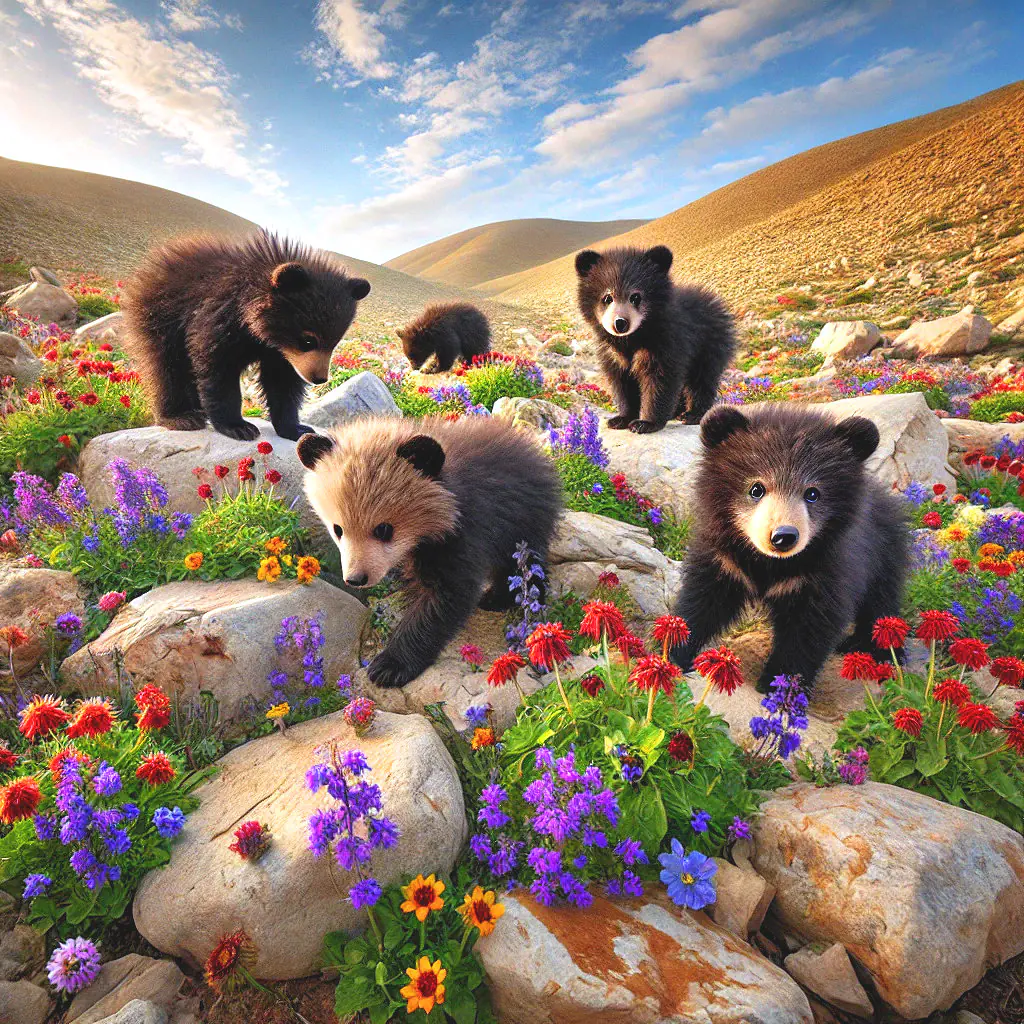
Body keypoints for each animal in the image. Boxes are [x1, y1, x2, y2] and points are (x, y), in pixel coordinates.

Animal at [121, 231, 370, 442]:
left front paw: (296, 428)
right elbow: (218, 367)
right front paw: (239, 427)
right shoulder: (218, 317)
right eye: (308, 340)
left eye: (335, 343)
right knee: (166, 367)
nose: (319, 378)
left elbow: (283, 382)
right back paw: (181, 417)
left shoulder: (281, 354)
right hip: (159, 316)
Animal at [296, 415, 562, 688]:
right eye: (338, 529)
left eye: (384, 529)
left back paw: (509, 600)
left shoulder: (462, 532)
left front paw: (390, 666)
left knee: (524, 564)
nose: (356, 578)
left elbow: (444, 598)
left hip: (523, 519)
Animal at [575, 245, 736, 434]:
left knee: (702, 380)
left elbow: (659, 379)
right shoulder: (611, 354)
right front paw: (621, 419)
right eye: (607, 297)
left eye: (636, 297)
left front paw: (645, 423)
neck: (632, 338)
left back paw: (693, 414)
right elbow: (623, 383)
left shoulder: (665, 341)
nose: (620, 323)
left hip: (709, 347)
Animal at [668, 404, 908, 693]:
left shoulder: (826, 569)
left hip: (884, 553)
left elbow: (807, 630)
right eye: (756, 489)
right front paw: (671, 652)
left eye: (813, 493)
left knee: (881, 602)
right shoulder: (724, 559)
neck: (771, 563)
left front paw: (779, 684)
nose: (783, 537)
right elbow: (702, 600)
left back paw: (877, 649)